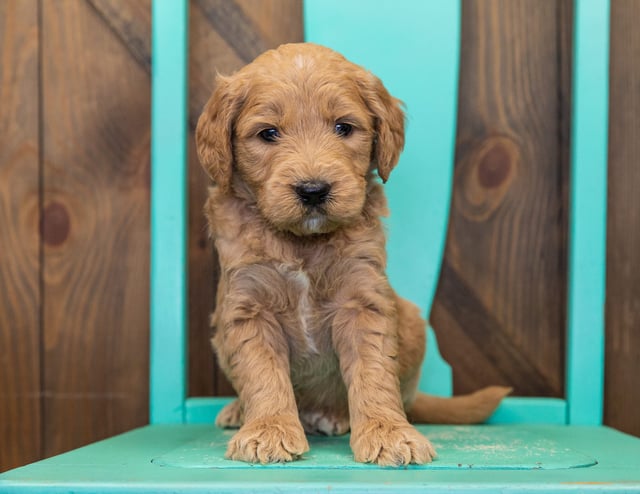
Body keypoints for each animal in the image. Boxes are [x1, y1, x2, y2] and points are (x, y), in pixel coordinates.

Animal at [196, 43, 510, 466]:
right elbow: (262, 374)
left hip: (411, 323)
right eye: (268, 133)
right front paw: (268, 429)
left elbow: (373, 371)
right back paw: (239, 411)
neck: (304, 244)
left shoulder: (363, 299)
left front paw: (388, 432)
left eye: (343, 128)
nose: (313, 190)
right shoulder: (248, 305)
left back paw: (337, 416)